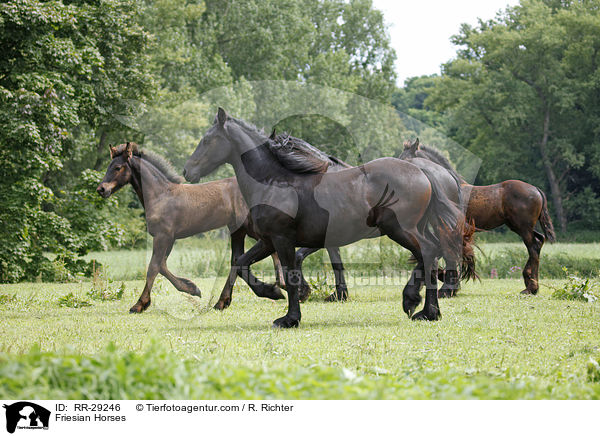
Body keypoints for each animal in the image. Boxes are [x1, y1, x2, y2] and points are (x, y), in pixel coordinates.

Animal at [183, 109, 474, 328]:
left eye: (207, 140)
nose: (187, 171)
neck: (275, 181)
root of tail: (423, 172)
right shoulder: (268, 240)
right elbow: (242, 264)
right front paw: (267, 293)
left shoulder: (282, 239)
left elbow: (291, 274)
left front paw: (289, 318)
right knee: (431, 255)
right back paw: (425, 309)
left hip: (400, 229)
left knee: (429, 253)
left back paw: (420, 305)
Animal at [400, 140, 556, 296]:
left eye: (407, 159)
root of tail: (537, 190)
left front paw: (448, 287)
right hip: (521, 227)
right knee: (539, 240)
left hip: (522, 227)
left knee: (533, 247)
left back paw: (531, 287)